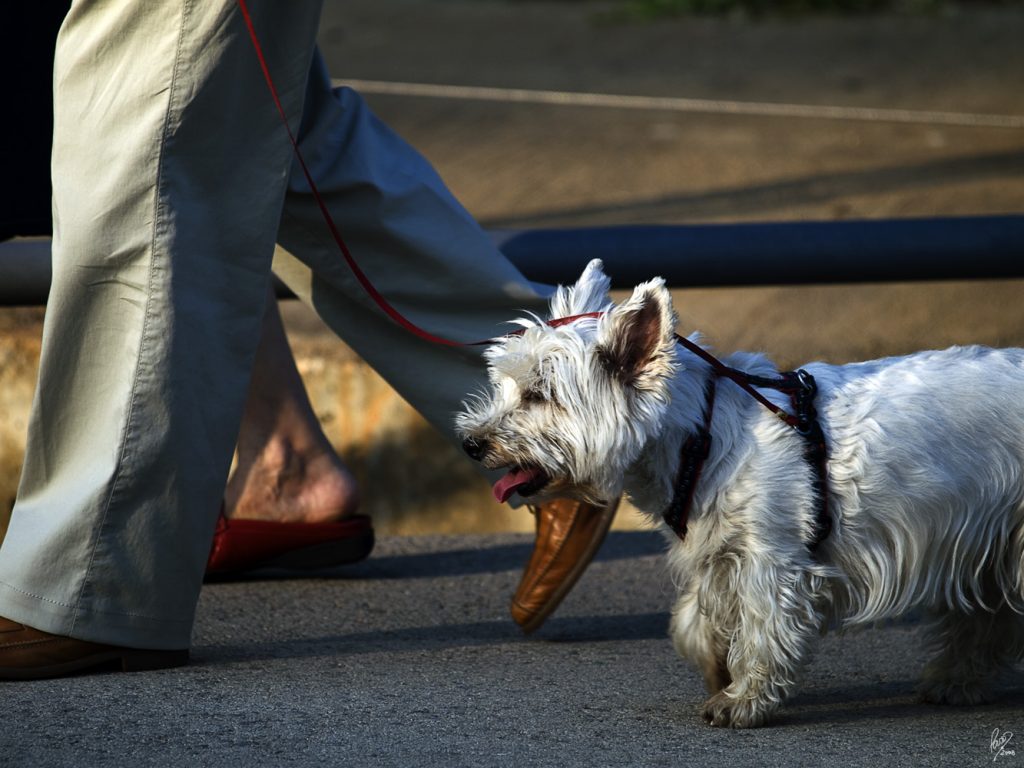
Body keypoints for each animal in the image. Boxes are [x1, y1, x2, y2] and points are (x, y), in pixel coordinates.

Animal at [458, 259, 1024, 729]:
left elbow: (764, 628)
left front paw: (742, 702)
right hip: (986, 535)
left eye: (540, 394)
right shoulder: (718, 554)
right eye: (505, 386)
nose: (471, 443)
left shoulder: (774, 559)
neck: (698, 439)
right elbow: (693, 620)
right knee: (987, 613)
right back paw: (955, 681)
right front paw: (716, 669)